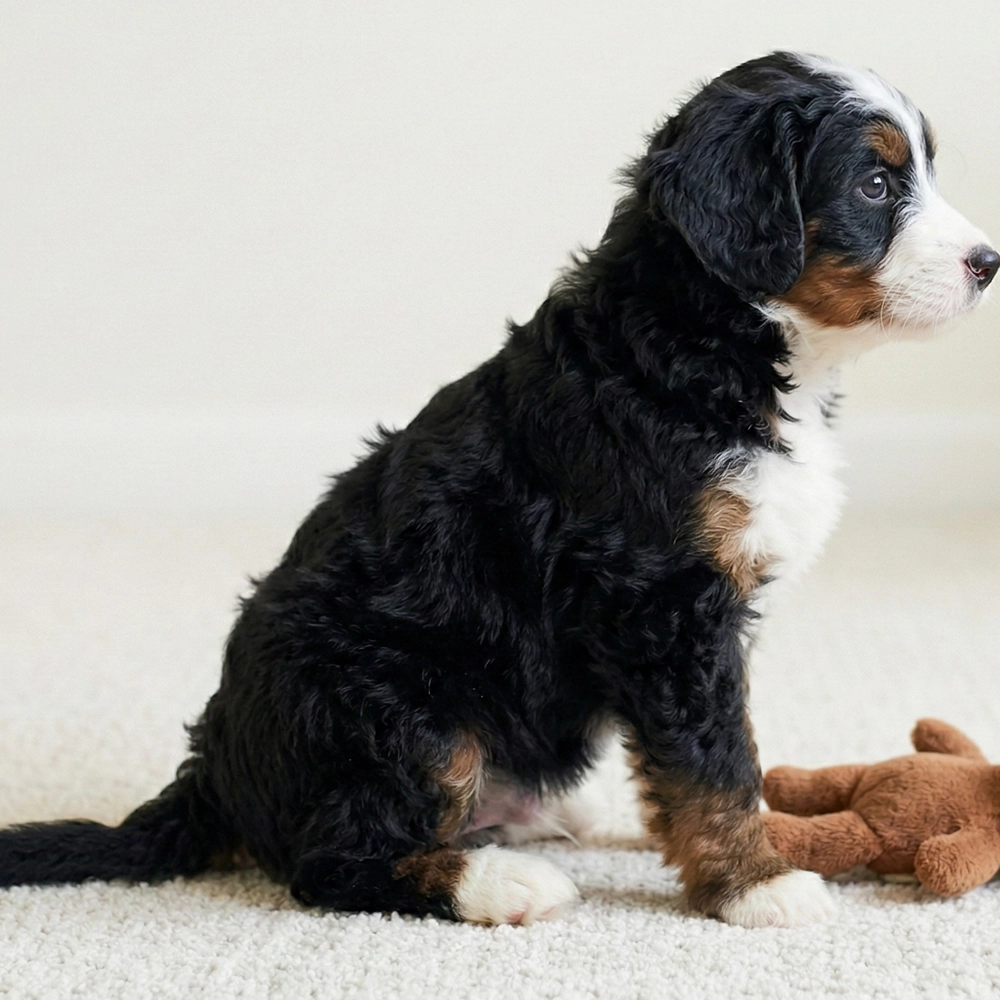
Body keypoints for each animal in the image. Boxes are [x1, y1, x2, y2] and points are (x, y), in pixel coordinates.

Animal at [1, 52, 996, 928]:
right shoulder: (663, 607)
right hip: (399, 707)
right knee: (335, 861)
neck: (700, 342)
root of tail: (215, 769)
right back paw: (501, 882)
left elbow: (704, 765)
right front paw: (756, 885)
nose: (988, 262)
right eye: (875, 186)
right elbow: (715, 765)